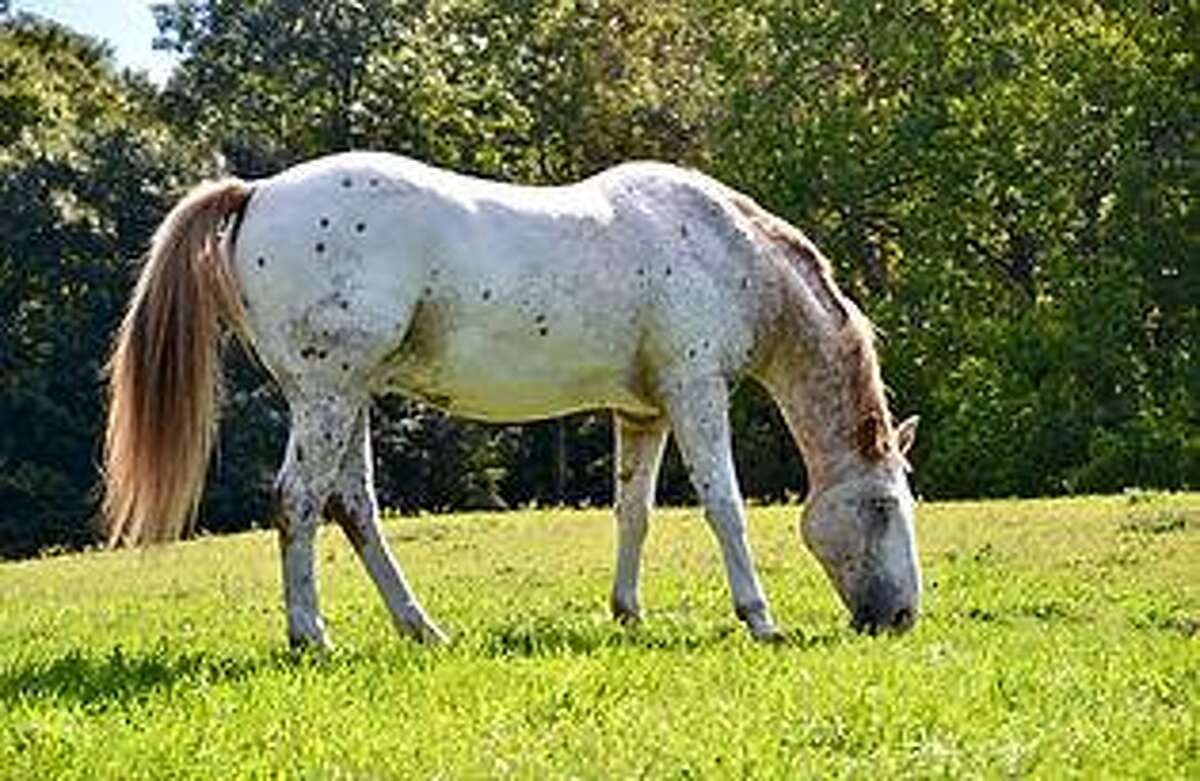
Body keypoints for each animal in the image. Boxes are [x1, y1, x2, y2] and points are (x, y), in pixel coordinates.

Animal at [103, 151, 921, 648]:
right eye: (884, 509)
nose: (901, 617)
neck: (728, 251)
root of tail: (259, 191)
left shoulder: (644, 411)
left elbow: (634, 512)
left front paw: (627, 613)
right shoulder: (696, 393)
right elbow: (725, 507)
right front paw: (760, 620)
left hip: (348, 397)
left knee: (353, 506)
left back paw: (421, 629)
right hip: (327, 394)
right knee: (298, 501)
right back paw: (312, 635)